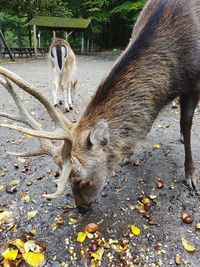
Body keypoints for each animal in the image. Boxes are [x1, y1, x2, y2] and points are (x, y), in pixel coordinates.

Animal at [0, 0, 200, 211]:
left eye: (83, 181)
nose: (81, 208)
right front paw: (128, 153)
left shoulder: (194, 83)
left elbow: (186, 123)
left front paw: (191, 177)